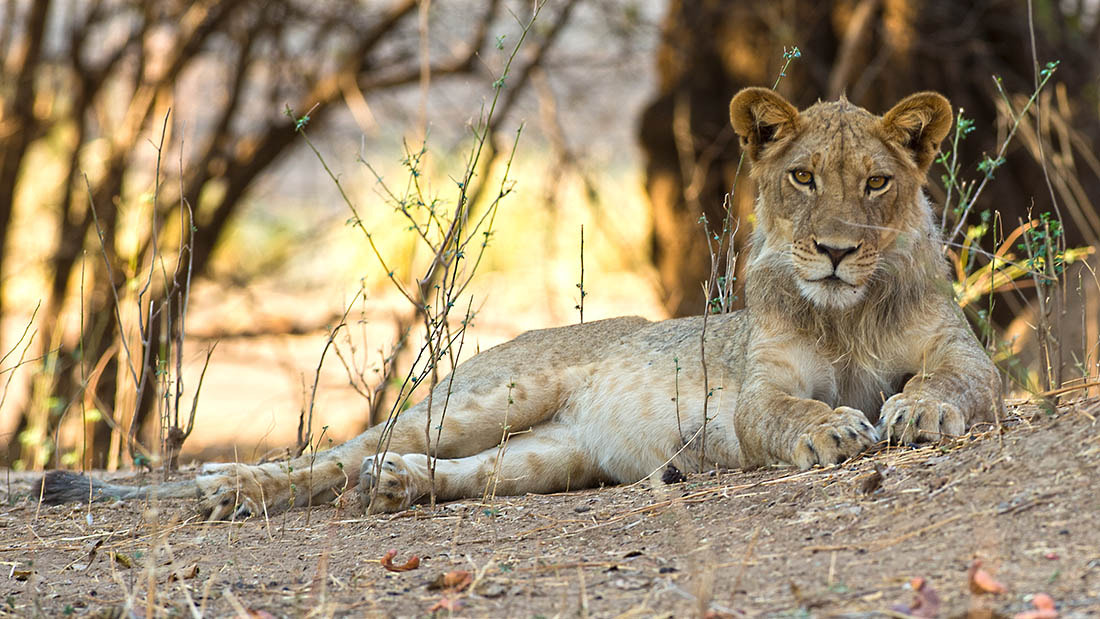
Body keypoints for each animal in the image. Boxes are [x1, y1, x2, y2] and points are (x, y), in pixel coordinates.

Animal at [38, 89, 1003, 521]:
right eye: (802, 177)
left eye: (875, 183)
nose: (836, 251)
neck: (845, 309)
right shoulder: (759, 388)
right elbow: (789, 409)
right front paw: (836, 428)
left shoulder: (964, 355)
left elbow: (952, 382)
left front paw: (917, 412)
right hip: (486, 394)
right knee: (331, 453)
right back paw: (230, 486)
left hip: (554, 454)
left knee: (455, 471)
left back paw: (397, 484)